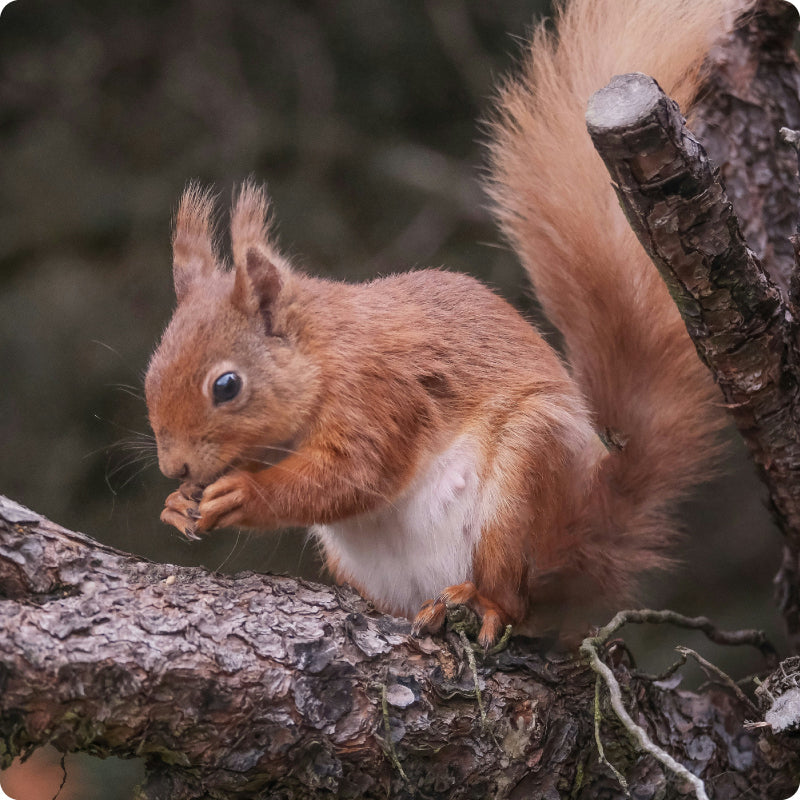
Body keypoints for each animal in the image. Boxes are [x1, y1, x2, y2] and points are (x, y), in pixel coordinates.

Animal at [145, 0, 756, 648]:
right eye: (151, 373)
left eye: (226, 386)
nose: (174, 467)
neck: (323, 354)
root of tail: (583, 547)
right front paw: (176, 504)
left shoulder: (379, 393)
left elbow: (354, 474)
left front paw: (244, 492)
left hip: (520, 486)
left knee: (514, 599)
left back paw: (480, 602)